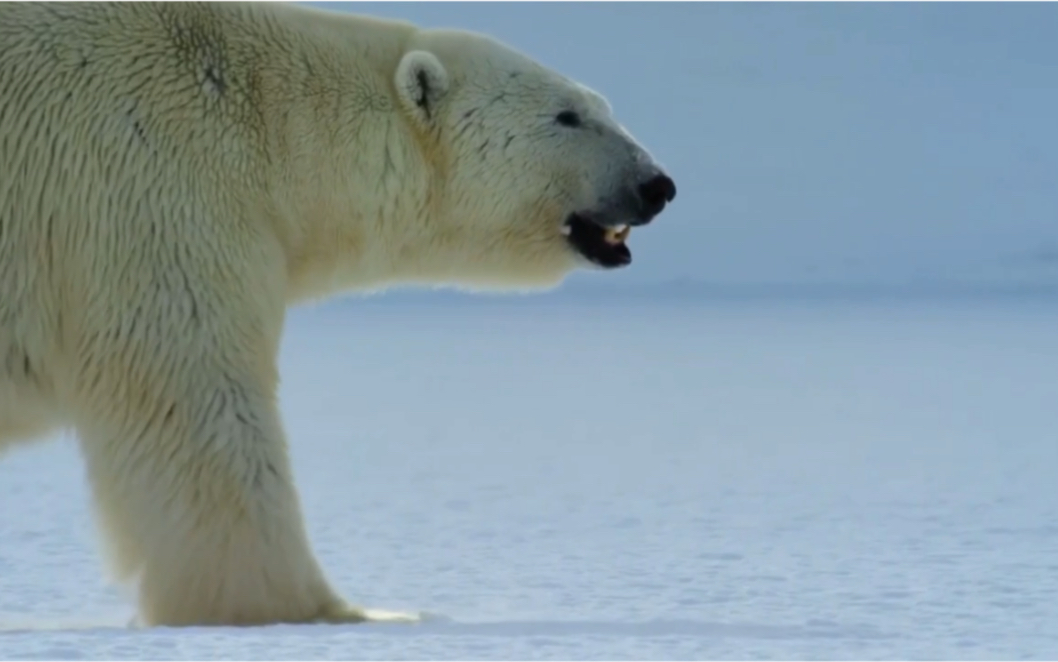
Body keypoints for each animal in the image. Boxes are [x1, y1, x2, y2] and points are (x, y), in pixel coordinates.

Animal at [0, 2, 677, 626]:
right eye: (568, 115)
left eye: (601, 104)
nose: (657, 185)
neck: (262, 117)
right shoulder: (150, 192)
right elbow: (195, 400)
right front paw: (320, 609)